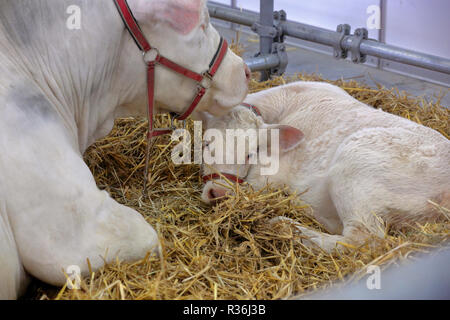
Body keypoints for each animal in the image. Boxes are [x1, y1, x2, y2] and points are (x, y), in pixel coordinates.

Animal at [201, 82, 450, 252]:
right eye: (205, 143)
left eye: (250, 153)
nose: (219, 193)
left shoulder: (270, 173)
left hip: (353, 163)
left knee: (362, 238)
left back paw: (284, 225)